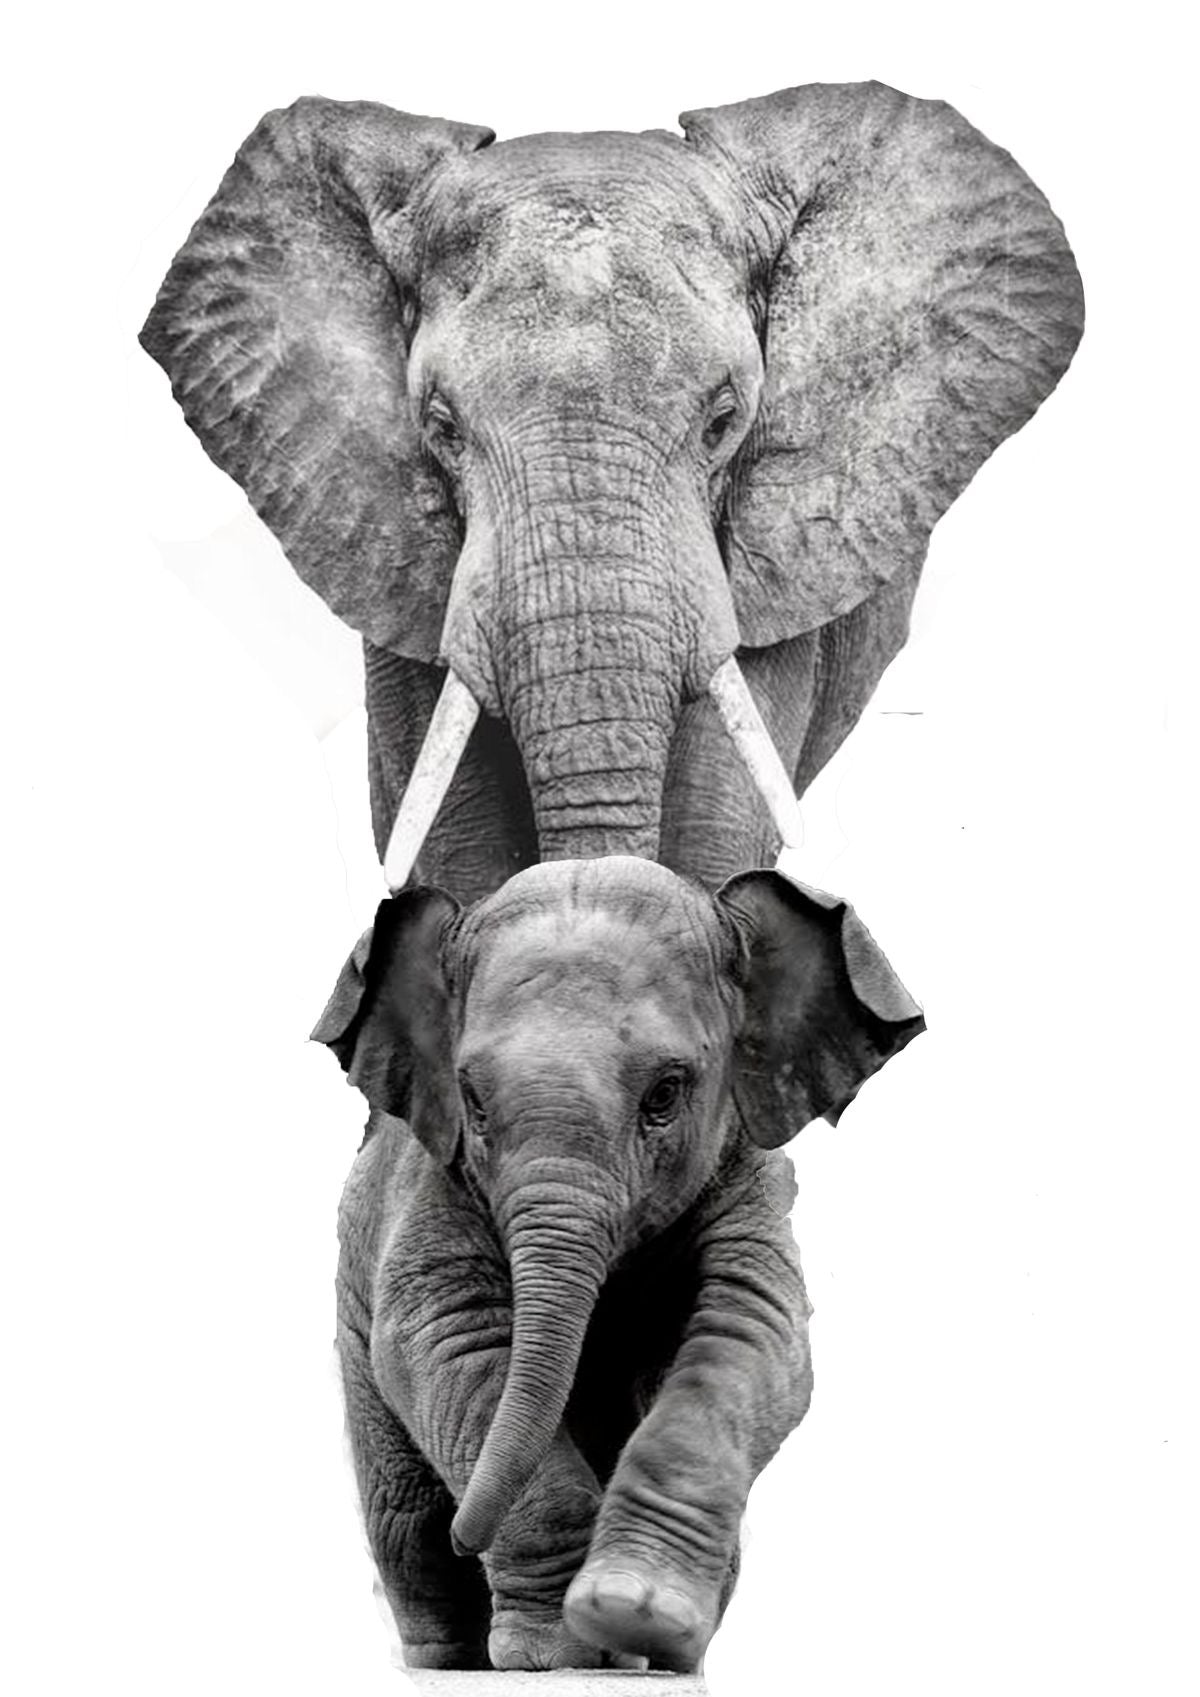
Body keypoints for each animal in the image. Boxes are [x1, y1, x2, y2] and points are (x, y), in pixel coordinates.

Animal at [314, 854, 924, 1671]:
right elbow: (447, 1340)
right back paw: (457, 1657)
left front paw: (635, 1613)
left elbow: (751, 1335)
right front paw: (557, 1655)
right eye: (474, 1101)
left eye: (665, 1093)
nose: (468, 1533)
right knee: (408, 1533)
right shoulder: (433, 1183)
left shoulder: (750, 1176)